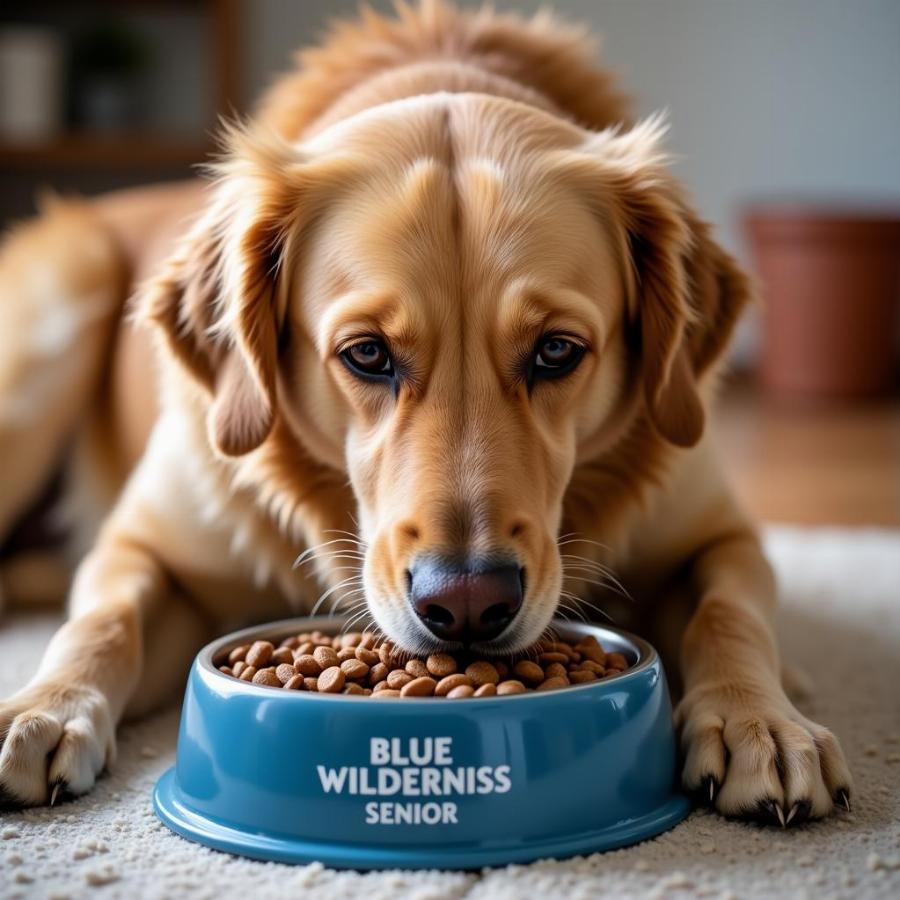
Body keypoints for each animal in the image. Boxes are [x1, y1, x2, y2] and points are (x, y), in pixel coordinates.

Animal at [0, 1, 852, 828]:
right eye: (367, 354)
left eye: (557, 351)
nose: (468, 603)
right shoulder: (140, 546)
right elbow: (105, 619)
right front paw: (44, 707)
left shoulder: (723, 536)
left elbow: (728, 612)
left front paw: (760, 721)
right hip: (61, 316)